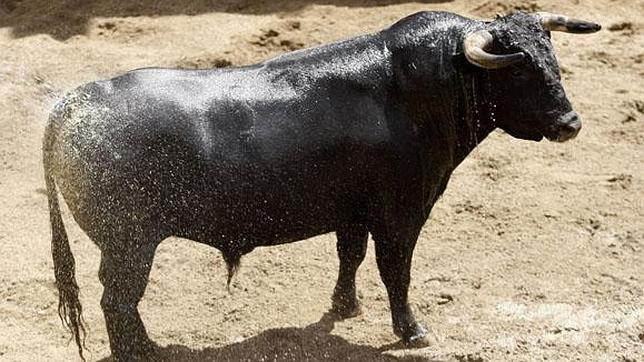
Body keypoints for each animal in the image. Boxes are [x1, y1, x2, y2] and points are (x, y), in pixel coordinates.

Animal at [42, 9, 600, 360]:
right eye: (519, 71)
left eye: (553, 59)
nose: (571, 124)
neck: (423, 89)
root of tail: (74, 101)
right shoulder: (402, 214)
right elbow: (396, 272)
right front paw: (412, 331)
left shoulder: (353, 211)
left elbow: (349, 256)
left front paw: (345, 307)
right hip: (130, 244)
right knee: (117, 299)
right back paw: (142, 351)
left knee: (117, 299)